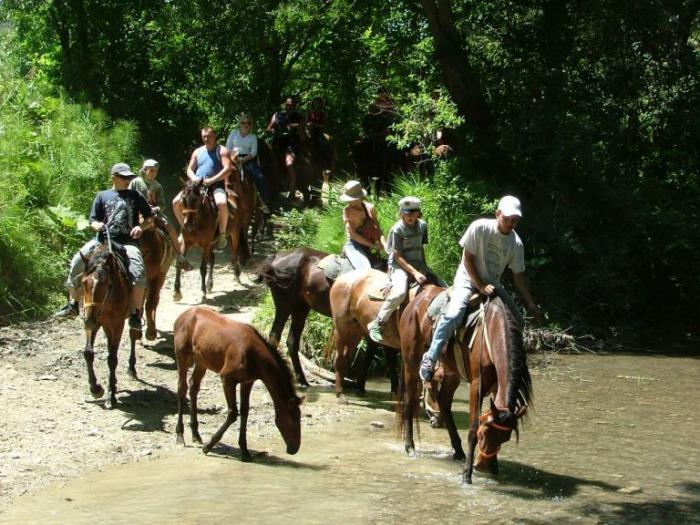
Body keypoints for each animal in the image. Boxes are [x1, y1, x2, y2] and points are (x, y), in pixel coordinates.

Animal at [80, 244, 141, 408]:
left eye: (106, 284)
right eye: (83, 282)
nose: (88, 320)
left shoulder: (117, 324)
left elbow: (112, 359)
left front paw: (111, 396)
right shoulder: (96, 322)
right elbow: (88, 353)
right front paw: (95, 388)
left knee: (133, 335)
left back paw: (131, 369)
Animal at [174, 304, 302, 460]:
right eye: (293, 419)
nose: (294, 449)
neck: (254, 357)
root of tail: (182, 315)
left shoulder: (247, 381)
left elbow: (245, 411)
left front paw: (245, 450)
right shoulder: (227, 378)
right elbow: (233, 413)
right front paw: (208, 446)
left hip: (201, 361)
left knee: (194, 387)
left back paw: (196, 435)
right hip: (182, 356)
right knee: (182, 389)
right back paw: (180, 436)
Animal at [252, 248, 396, 390]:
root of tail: (276, 257)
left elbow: (378, 352)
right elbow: (382, 353)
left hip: (301, 307)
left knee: (292, 342)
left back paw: (302, 381)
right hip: (284, 305)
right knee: (274, 336)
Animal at [396, 286, 532, 484]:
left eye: (505, 438)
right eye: (484, 433)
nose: (481, 466)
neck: (493, 335)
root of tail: (416, 299)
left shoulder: (496, 388)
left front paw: (494, 469)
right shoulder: (477, 386)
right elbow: (472, 429)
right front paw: (467, 475)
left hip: (451, 372)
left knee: (444, 401)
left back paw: (458, 451)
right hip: (410, 360)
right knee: (409, 400)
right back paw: (410, 447)